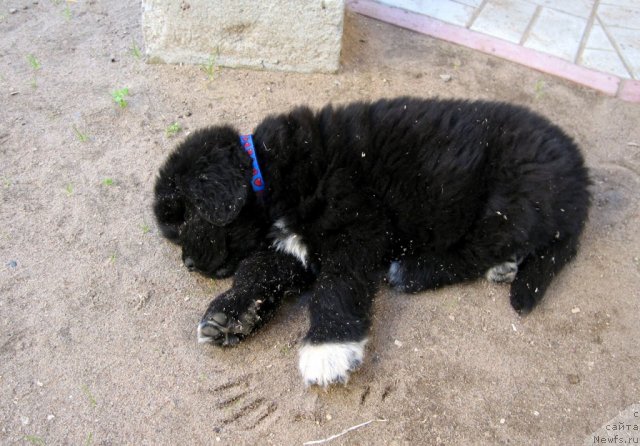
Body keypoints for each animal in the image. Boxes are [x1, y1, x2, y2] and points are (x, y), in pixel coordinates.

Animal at [154, 97, 592, 386]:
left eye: (185, 217)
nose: (187, 264)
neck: (273, 171)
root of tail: (582, 180)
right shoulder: (292, 250)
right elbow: (257, 269)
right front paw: (231, 315)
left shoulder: (356, 228)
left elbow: (336, 286)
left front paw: (328, 346)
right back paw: (504, 267)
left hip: (509, 196)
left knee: (477, 248)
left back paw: (415, 271)